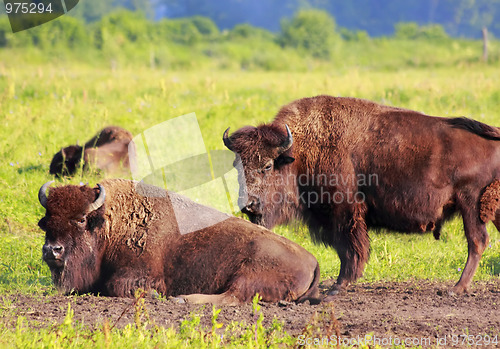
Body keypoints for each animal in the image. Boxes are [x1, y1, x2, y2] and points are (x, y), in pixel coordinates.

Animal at [38, 178, 320, 304]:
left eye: (81, 219)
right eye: (46, 220)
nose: (52, 250)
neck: (110, 223)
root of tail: (313, 260)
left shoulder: (140, 274)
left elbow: (116, 285)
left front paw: (155, 295)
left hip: (248, 274)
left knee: (232, 297)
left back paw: (183, 299)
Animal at [225, 94, 500, 296]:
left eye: (267, 165)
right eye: (237, 166)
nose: (248, 205)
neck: (300, 151)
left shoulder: (345, 212)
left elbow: (349, 247)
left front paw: (339, 285)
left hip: (471, 203)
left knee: (477, 241)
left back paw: (457, 288)